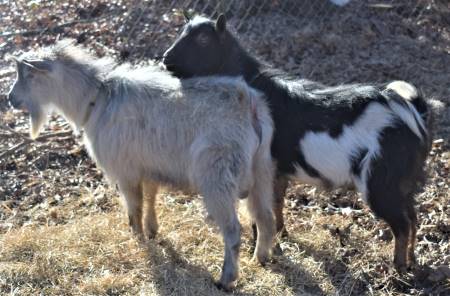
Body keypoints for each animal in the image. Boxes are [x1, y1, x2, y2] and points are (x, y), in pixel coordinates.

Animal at [162, 15, 432, 272]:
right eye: (182, 32)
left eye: (203, 39)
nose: (165, 59)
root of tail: (412, 113)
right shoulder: (278, 171)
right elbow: (277, 203)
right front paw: (280, 237)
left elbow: (261, 209)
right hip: (403, 184)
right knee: (413, 217)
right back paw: (412, 262)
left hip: (380, 184)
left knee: (402, 224)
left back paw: (397, 267)